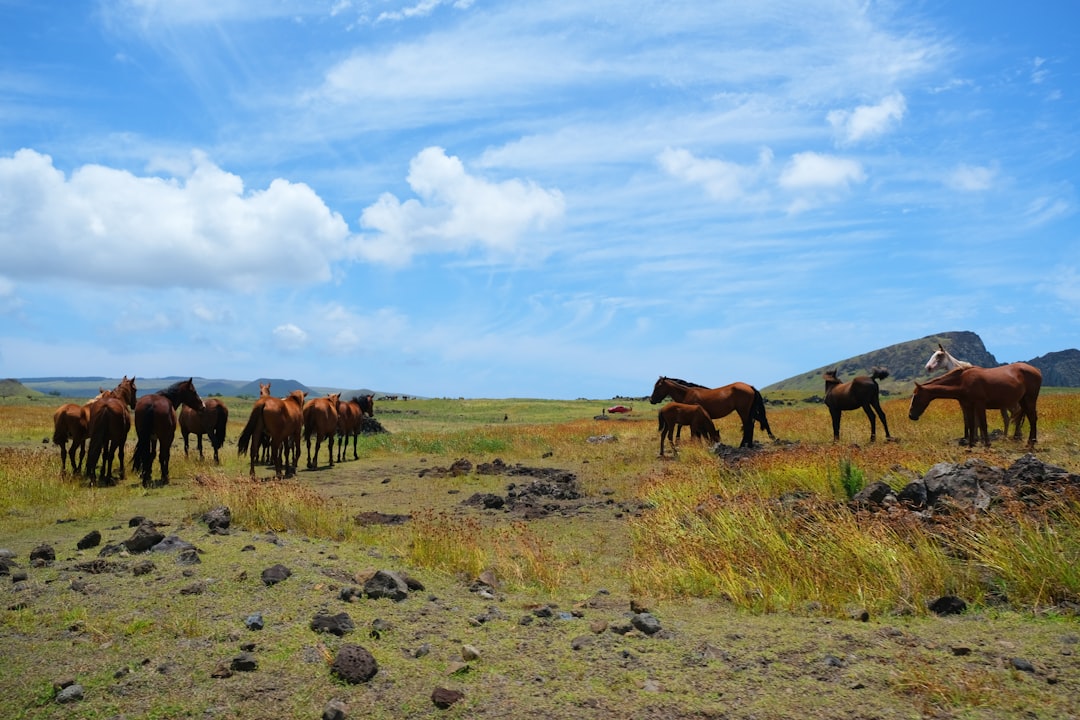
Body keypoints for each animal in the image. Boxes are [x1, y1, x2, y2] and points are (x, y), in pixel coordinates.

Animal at [648, 377, 777, 444]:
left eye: (658, 387)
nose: (651, 400)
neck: (687, 393)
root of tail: (750, 387)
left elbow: (686, 429)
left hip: (743, 411)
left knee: (749, 425)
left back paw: (744, 444)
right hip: (749, 411)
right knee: (757, 422)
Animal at [907, 362, 1041, 446]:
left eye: (916, 396)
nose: (911, 416)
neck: (962, 382)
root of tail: (1037, 370)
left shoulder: (979, 405)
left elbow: (983, 424)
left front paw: (986, 443)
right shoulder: (968, 406)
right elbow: (971, 424)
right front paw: (971, 444)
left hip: (1030, 400)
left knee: (1033, 418)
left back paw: (1032, 441)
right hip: (1023, 401)